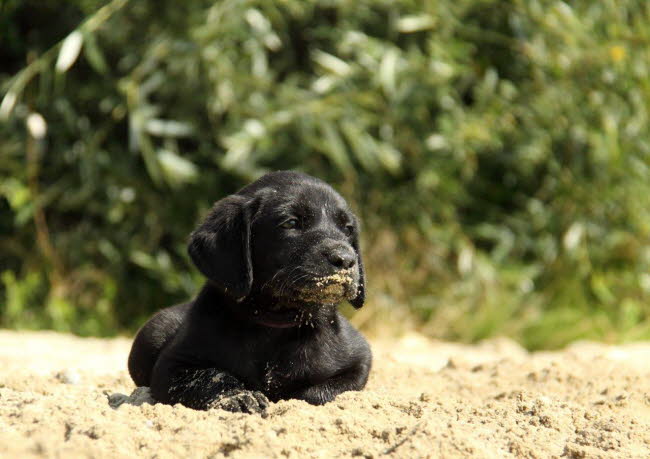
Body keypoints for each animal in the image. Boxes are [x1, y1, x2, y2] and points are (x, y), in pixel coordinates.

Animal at [128, 172, 370, 414]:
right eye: (291, 223)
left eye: (347, 229)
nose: (345, 259)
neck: (274, 322)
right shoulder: (172, 365)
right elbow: (209, 377)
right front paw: (240, 398)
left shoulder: (360, 360)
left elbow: (318, 392)